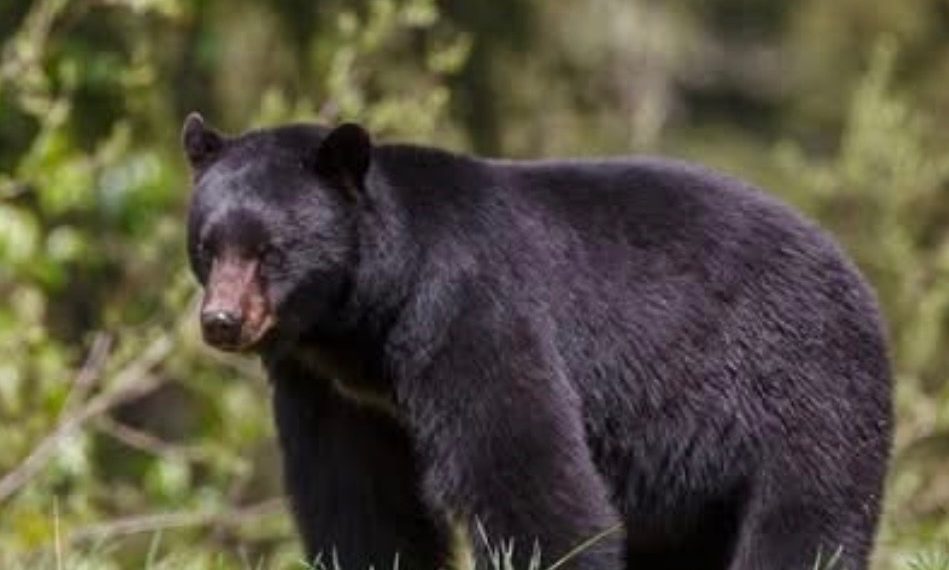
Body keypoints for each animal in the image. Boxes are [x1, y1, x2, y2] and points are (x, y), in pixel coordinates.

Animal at [182, 113, 891, 570]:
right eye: (209, 246)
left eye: (270, 251)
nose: (221, 321)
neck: (361, 323)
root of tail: (857, 277)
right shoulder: (331, 389)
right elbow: (359, 500)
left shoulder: (472, 316)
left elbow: (528, 475)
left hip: (803, 393)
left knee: (804, 523)